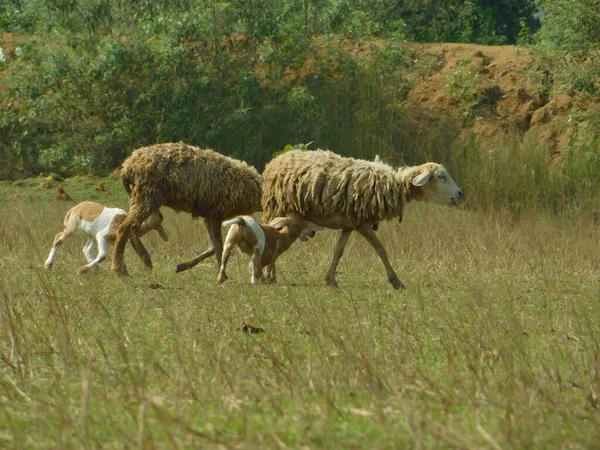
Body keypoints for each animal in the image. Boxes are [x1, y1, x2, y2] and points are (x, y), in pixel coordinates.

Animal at [112, 142, 262, 276]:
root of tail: (127, 166)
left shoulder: (208, 216)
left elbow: (213, 247)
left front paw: (182, 266)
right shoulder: (216, 214)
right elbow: (219, 246)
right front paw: (222, 274)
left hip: (141, 197)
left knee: (133, 229)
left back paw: (145, 261)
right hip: (146, 196)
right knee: (125, 228)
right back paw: (119, 269)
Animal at [262, 149, 464, 290]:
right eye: (441, 176)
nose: (460, 193)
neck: (392, 185)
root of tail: (276, 160)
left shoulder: (350, 224)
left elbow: (339, 251)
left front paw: (331, 279)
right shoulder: (362, 223)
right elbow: (381, 249)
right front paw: (396, 281)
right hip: (276, 207)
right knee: (273, 237)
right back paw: (270, 276)